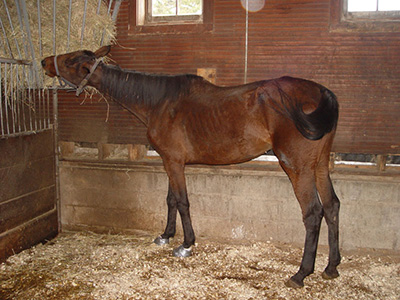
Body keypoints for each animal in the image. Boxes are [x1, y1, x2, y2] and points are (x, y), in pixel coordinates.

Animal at [41, 45, 340, 288]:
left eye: (70, 60)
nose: (44, 61)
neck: (159, 102)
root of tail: (322, 92)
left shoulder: (174, 162)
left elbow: (183, 201)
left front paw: (186, 244)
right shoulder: (169, 161)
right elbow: (171, 199)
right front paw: (166, 235)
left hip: (298, 168)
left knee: (313, 213)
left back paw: (301, 273)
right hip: (319, 165)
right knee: (332, 206)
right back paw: (331, 266)